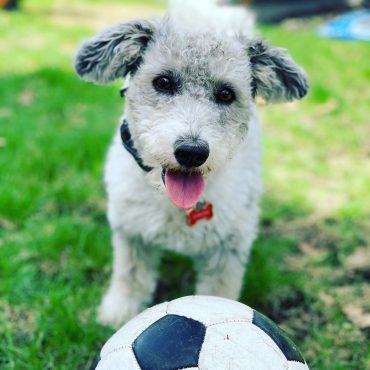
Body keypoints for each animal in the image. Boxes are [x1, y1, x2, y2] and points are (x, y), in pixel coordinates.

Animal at [73, 0, 308, 326]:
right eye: (163, 82)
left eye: (226, 93)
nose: (191, 152)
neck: (174, 204)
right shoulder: (132, 233)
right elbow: (130, 276)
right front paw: (119, 313)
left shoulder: (228, 248)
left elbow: (218, 291)